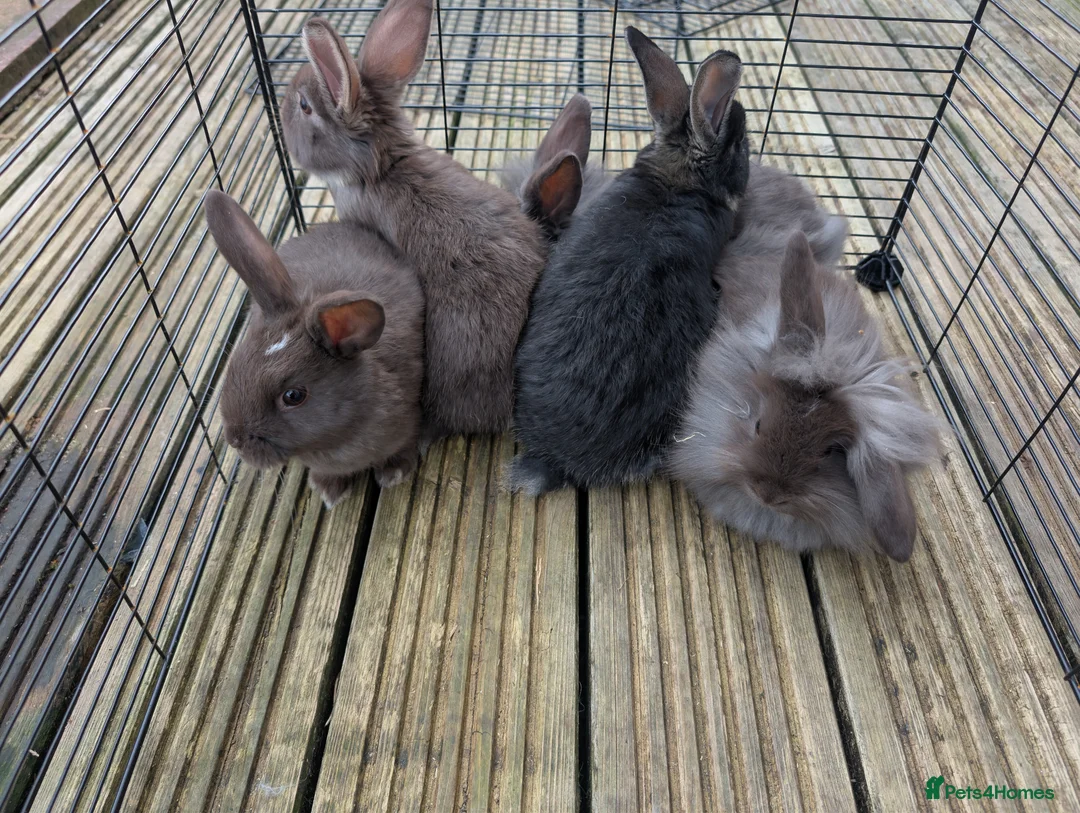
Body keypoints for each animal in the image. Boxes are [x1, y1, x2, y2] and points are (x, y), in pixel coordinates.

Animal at [204, 190, 424, 508]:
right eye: (235, 368)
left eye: (293, 396)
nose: (236, 441)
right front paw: (330, 491)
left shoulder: (409, 422)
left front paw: (394, 474)